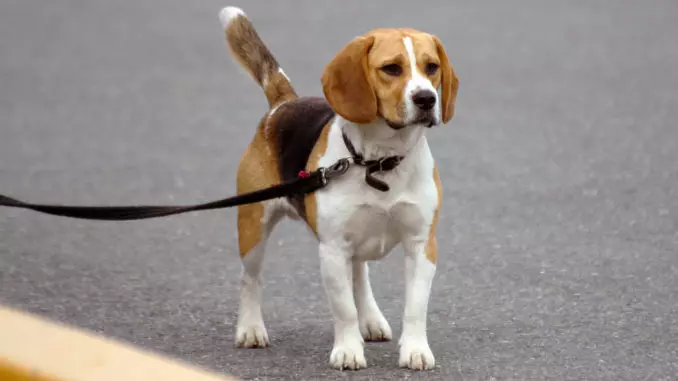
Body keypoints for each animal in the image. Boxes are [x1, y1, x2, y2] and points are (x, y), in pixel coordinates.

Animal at [220, 5, 460, 368]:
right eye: (392, 68)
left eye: (431, 67)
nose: (426, 99)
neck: (379, 161)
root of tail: (283, 104)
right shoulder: (332, 249)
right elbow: (343, 308)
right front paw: (348, 350)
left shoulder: (422, 245)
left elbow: (416, 306)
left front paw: (415, 350)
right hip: (253, 226)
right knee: (250, 279)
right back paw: (250, 329)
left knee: (359, 275)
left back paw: (371, 320)